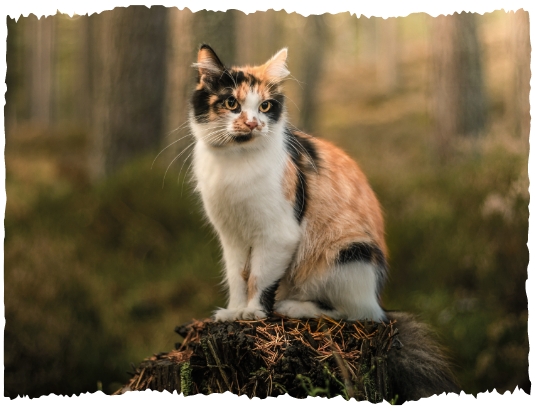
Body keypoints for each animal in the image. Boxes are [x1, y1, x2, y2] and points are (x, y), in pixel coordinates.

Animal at [191, 44, 388, 322]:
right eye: (231, 103)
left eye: (264, 106)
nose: (253, 123)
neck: (236, 159)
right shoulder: (231, 236)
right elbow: (237, 277)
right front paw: (234, 311)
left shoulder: (279, 234)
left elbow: (258, 277)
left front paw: (253, 311)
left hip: (349, 254)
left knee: (356, 311)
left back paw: (292, 306)